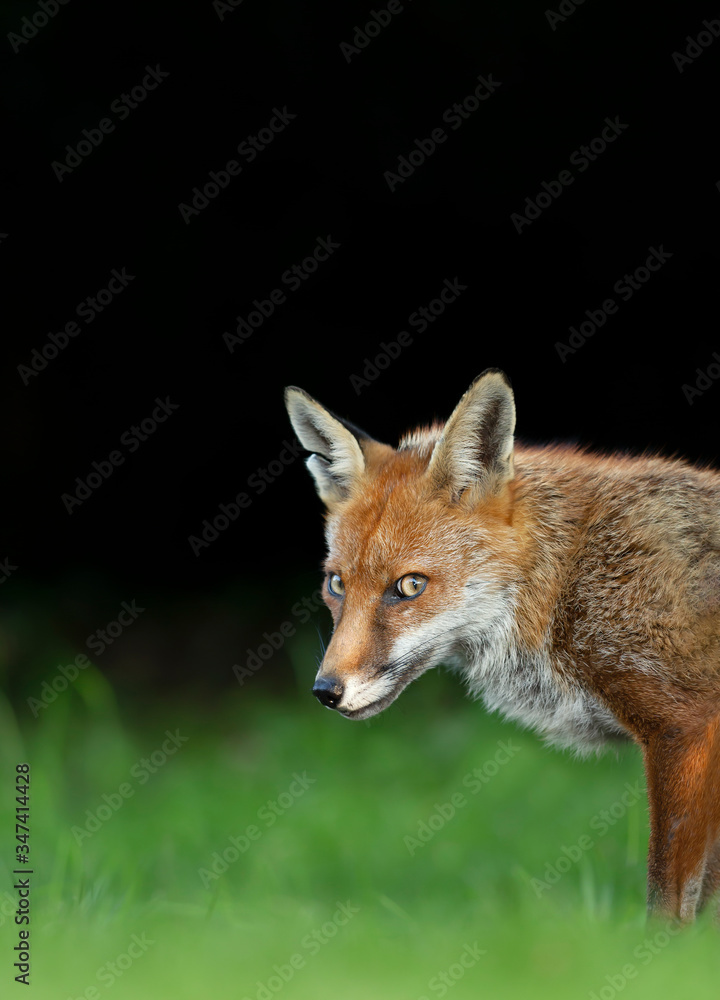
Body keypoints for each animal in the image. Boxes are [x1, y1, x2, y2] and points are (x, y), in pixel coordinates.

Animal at [284, 369, 720, 923]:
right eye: (337, 584)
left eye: (409, 586)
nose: (325, 690)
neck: (564, 579)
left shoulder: (684, 727)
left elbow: (668, 900)